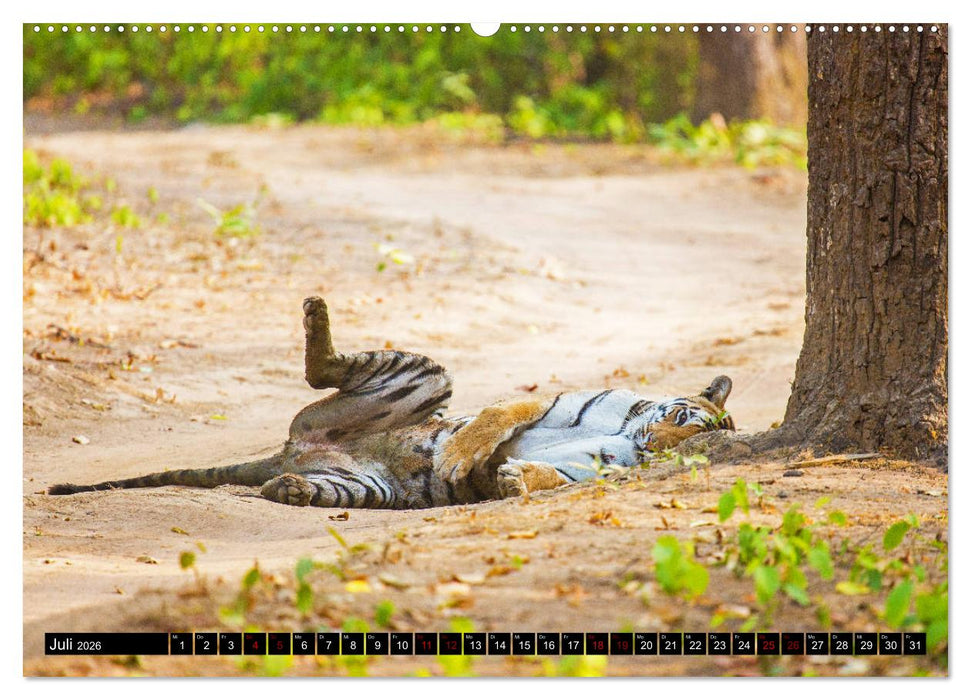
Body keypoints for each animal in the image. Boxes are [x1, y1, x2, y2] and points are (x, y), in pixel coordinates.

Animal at [48, 297, 736, 509]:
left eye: (701, 443)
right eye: (689, 421)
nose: (658, 443)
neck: (631, 436)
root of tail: (287, 451)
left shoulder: (591, 468)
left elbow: (550, 474)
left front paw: (511, 479)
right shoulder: (560, 402)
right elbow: (503, 414)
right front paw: (465, 456)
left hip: (361, 486)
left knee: (303, 481)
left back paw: (288, 489)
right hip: (425, 378)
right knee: (322, 365)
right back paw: (316, 316)